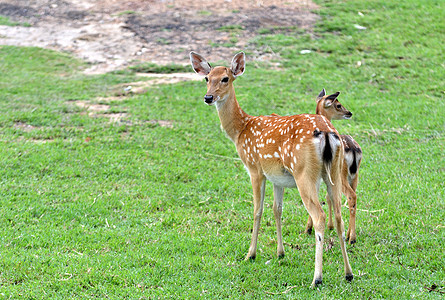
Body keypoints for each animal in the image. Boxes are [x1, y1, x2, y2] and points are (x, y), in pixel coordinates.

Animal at [189, 51, 352, 286]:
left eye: (225, 79)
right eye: (206, 78)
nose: (208, 97)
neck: (241, 130)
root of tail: (327, 133)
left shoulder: (255, 168)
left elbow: (257, 210)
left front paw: (251, 254)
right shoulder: (278, 177)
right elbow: (277, 209)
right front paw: (280, 252)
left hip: (304, 173)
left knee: (320, 216)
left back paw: (317, 278)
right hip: (333, 172)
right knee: (338, 214)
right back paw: (348, 273)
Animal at [304, 88, 362, 244]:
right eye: (338, 105)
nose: (349, 112)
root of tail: (353, 151)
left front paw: (308, 228)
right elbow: (328, 197)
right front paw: (330, 226)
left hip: (340, 175)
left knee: (351, 196)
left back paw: (352, 238)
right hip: (354, 176)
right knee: (353, 197)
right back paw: (349, 234)